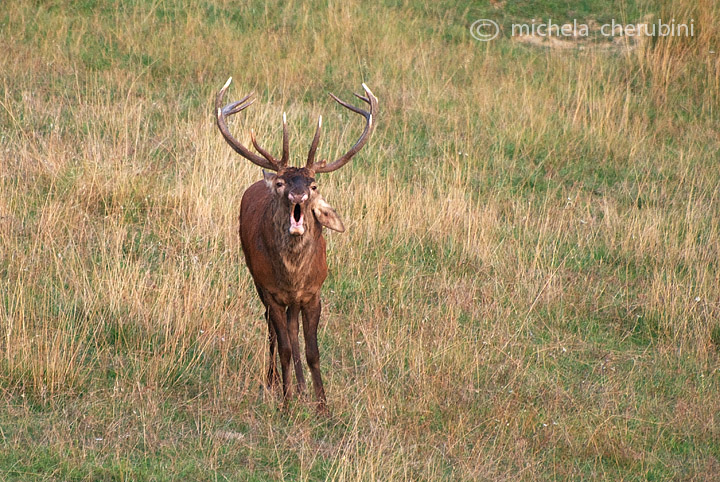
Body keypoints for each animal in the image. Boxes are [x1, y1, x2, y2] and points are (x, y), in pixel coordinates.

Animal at [217, 78, 380, 410]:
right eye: (281, 183)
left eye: (313, 184)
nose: (298, 195)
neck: (293, 276)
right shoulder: (272, 291)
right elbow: (284, 348)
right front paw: (286, 403)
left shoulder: (314, 292)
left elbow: (312, 351)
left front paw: (322, 405)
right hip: (257, 281)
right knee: (272, 330)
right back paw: (273, 382)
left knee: (291, 331)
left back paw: (302, 387)